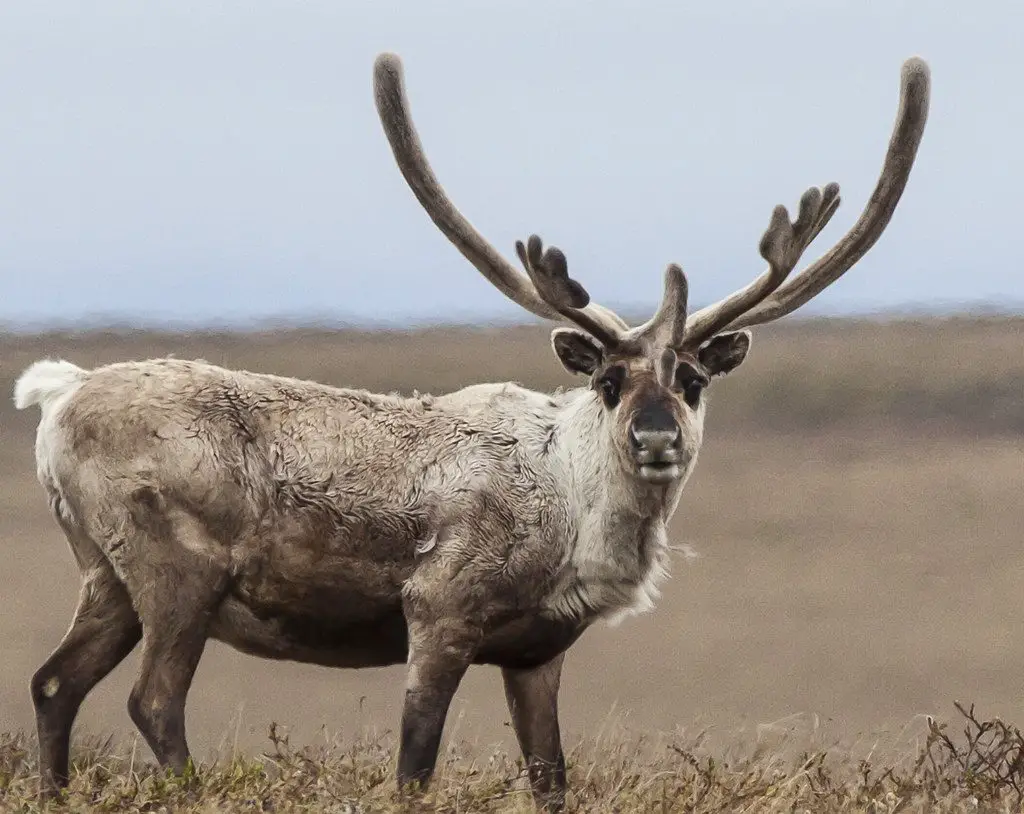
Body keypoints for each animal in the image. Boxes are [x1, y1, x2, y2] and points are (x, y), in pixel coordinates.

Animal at [12, 51, 929, 809]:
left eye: (694, 380)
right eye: (606, 380)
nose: (656, 440)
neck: (571, 505)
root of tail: (58, 399)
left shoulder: (537, 652)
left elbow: (551, 777)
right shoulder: (438, 613)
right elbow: (414, 765)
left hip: (106, 578)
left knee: (55, 685)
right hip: (178, 575)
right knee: (152, 701)